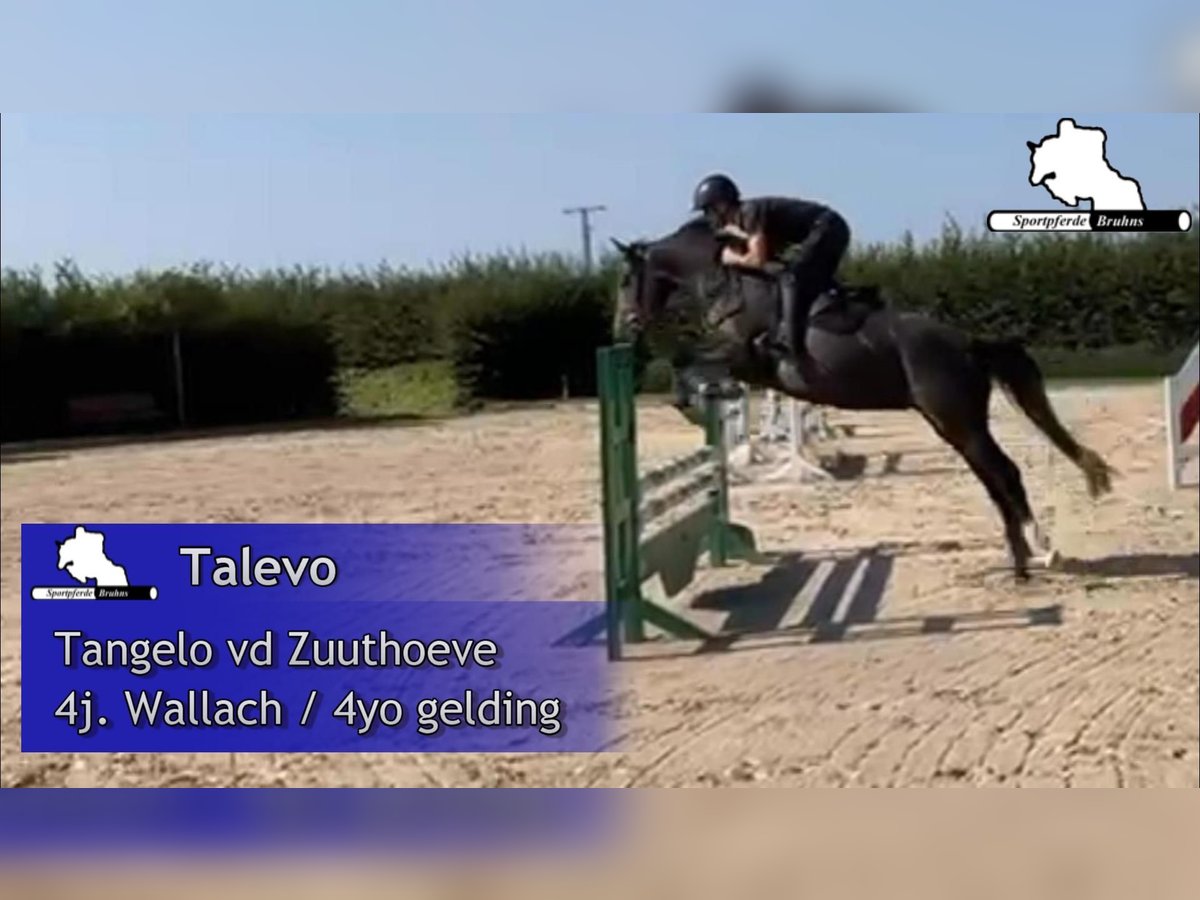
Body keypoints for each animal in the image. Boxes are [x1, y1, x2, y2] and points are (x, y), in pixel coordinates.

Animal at [609, 214, 1113, 580]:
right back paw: (1025, 557)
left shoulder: (742, 357)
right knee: (995, 478)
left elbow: (684, 364)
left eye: (625, 281)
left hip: (958, 421)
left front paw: (696, 404)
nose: (623, 327)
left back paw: (1035, 552)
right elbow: (687, 366)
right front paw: (704, 403)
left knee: (1003, 473)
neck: (727, 280)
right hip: (954, 425)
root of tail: (970, 342)